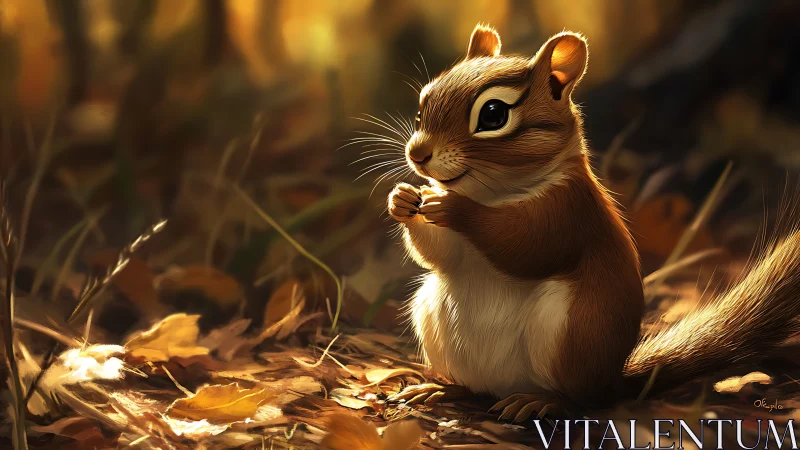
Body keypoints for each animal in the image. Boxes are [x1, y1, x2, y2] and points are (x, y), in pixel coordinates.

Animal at [385, 24, 800, 418]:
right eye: (422, 108)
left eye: (493, 115)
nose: (417, 154)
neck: (492, 192)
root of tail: (612, 381)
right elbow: (442, 255)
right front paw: (402, 199)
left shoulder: (569, 211)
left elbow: (523, 245)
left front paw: (456, 208)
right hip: (433, 316)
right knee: (476, 388)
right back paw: (442, 389)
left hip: (569, 334)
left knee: (579, 399)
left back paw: (541, 402)